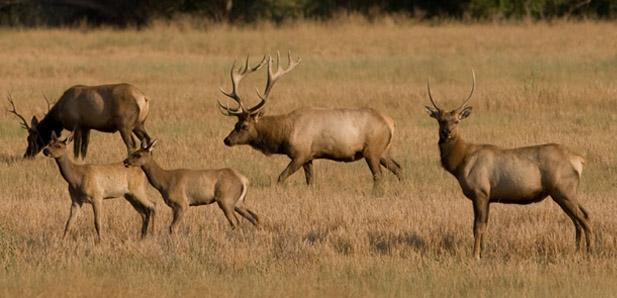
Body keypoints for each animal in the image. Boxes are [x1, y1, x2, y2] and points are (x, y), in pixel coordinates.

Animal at [7, 82, 153, 159]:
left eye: (30, 138)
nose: (26, 155)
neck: (59, 115)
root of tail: (144, 99)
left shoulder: (76, 125)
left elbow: (76, 147)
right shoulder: (86, 127)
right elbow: (84, 148)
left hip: (125, 125)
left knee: (131, 144)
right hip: (139, 124)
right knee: (148, 140)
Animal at [122, 140, 258, 235]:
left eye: (138, 154)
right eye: (133, 152)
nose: (125, 161)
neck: (164, 182)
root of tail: (244, 179)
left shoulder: (182, 203)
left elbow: (173, 227)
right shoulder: (174, 206)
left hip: (225, 199)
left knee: (236, 222)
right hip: (238, 202)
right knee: (254, 217)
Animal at [215, 52, 400, 192]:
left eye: (244, 126)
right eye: (234, 124)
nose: (227, 140)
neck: (284, 135)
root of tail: (391, 122)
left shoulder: (300, 153)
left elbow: (281, 177)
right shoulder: (310, 157)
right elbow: (311, 182)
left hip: (372, 150)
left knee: (378, 175)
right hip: (382, 150)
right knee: (398, 168)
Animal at [424, 70, 592, 258]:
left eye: (457, 120)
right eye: (440, 120)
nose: (447, 132)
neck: (460, 163)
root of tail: (579, 161)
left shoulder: (480, 191)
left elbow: (477, 227)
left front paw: (475, 255)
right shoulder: (487, 197)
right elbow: (484, 226)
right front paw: (483, 252)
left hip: (563, 189)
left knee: (584, 218)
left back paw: (590, 252)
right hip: (566, 192)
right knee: (579, 219)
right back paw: (577, 251)